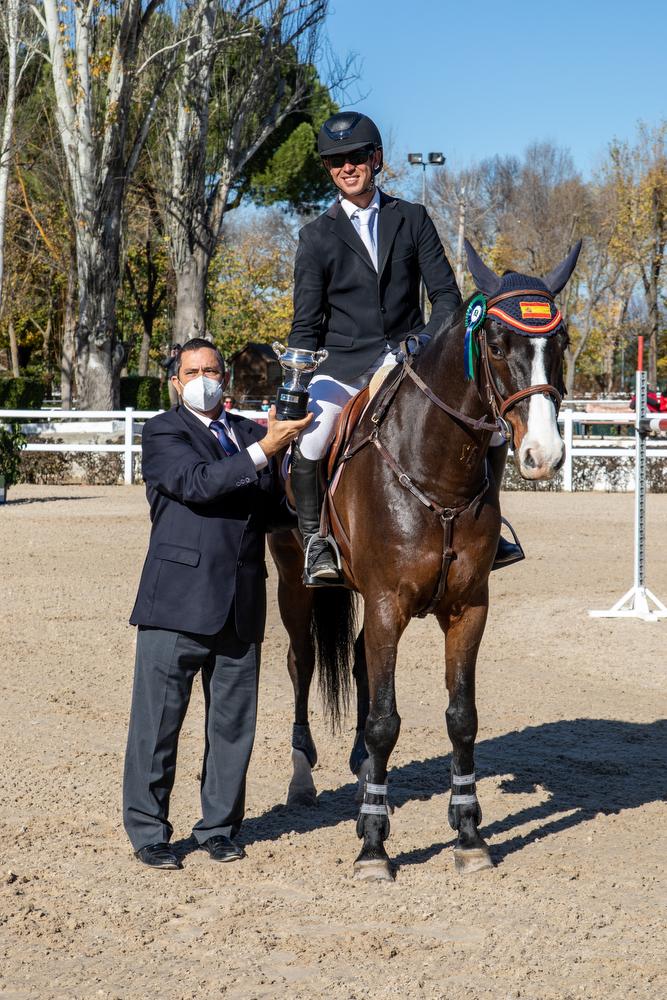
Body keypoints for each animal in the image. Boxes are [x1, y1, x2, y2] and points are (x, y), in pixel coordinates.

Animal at [268, 242, 580, 884]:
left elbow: (461, 716)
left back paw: (361, 767)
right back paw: (303, 776)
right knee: (302, 662)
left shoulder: (467, 609)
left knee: (359, 663)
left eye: (560, 343)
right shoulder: (388, 605)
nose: (543, 455)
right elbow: (386, 720)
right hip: (296, 585)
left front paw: (469, 834)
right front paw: (373, 847)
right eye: (494, 343)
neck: (436, 471)